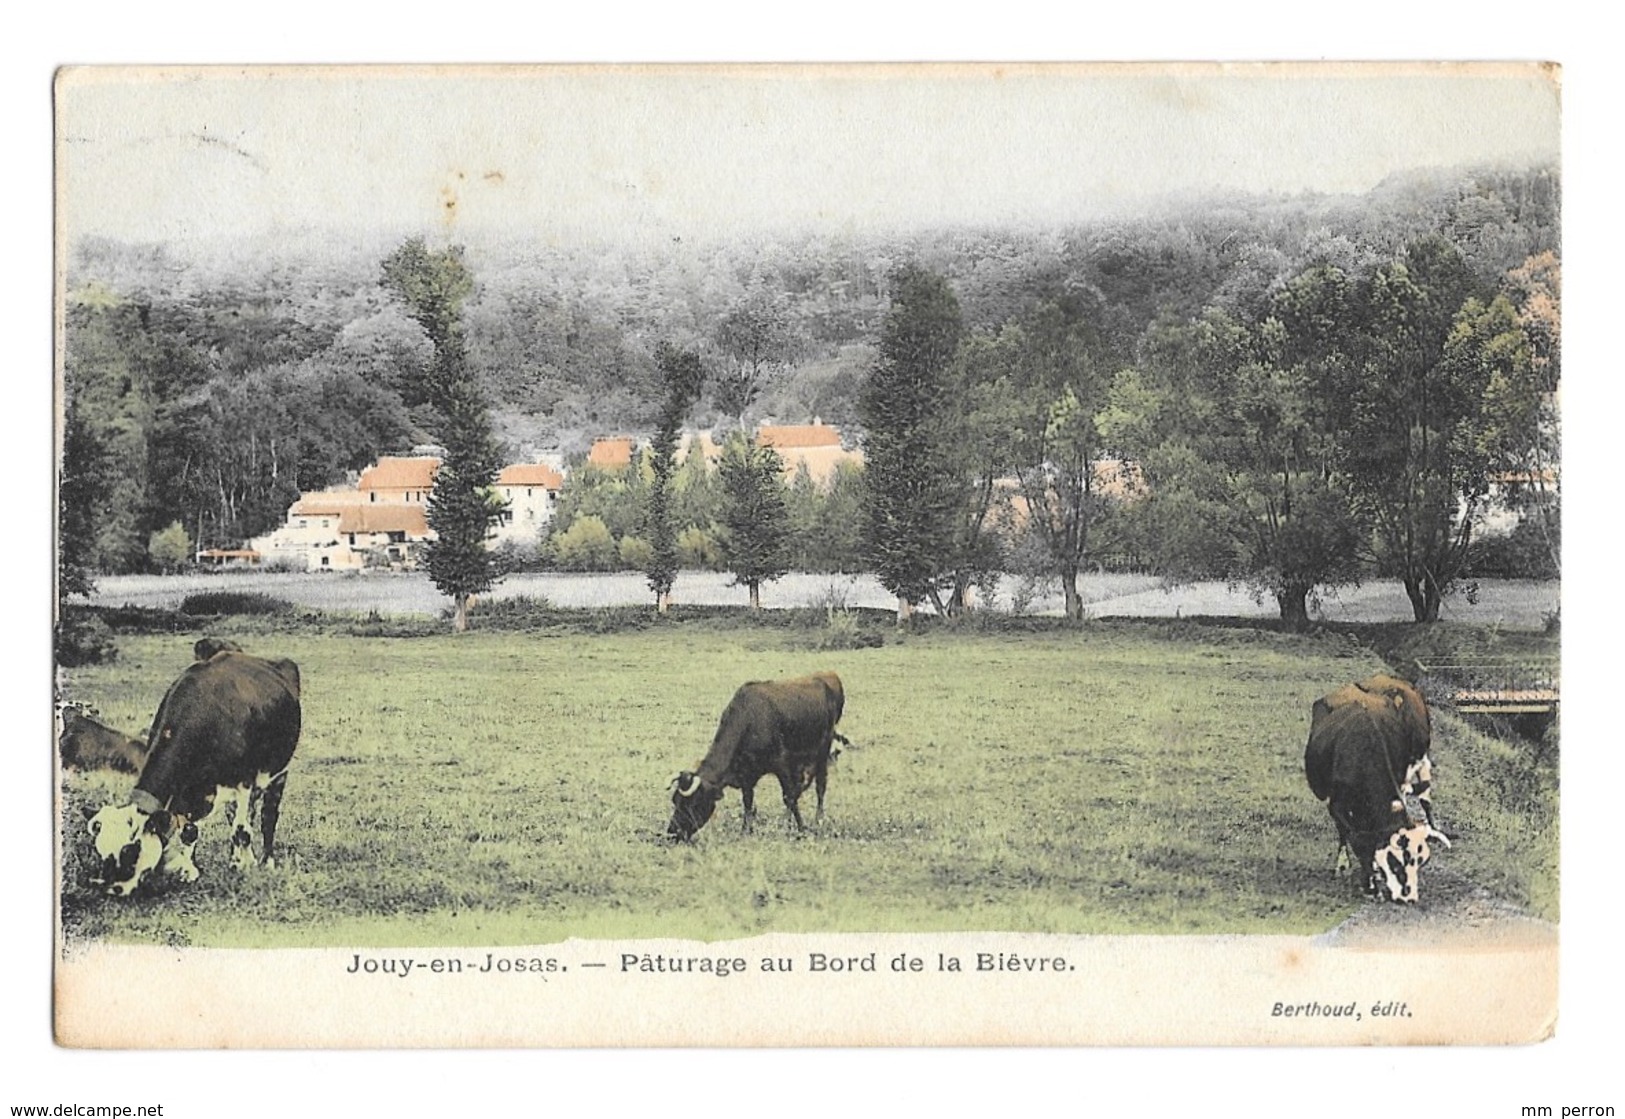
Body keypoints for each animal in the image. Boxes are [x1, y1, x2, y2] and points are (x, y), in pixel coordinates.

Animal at [85, 649, 302, 896]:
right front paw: (190, 872)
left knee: (267, 816)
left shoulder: (244, 780)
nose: (113, 889)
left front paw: (245, 867)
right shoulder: (185, 787)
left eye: (129, 852)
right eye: (101, 851)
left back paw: (265, 861)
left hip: (279, 771)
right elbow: (191, 831)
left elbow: (242, 830)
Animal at [669, 669, 851, 844]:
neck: (750, 720)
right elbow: (748, 802)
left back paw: (818, 819)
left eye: (692, 804)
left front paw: (798, 828)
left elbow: (789, 797)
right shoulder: (747, 776)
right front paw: (746, 830)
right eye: (675, 801)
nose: (672, 832)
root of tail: (828, 677)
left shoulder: (781, 765)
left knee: (820, 787)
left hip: (822, 753)